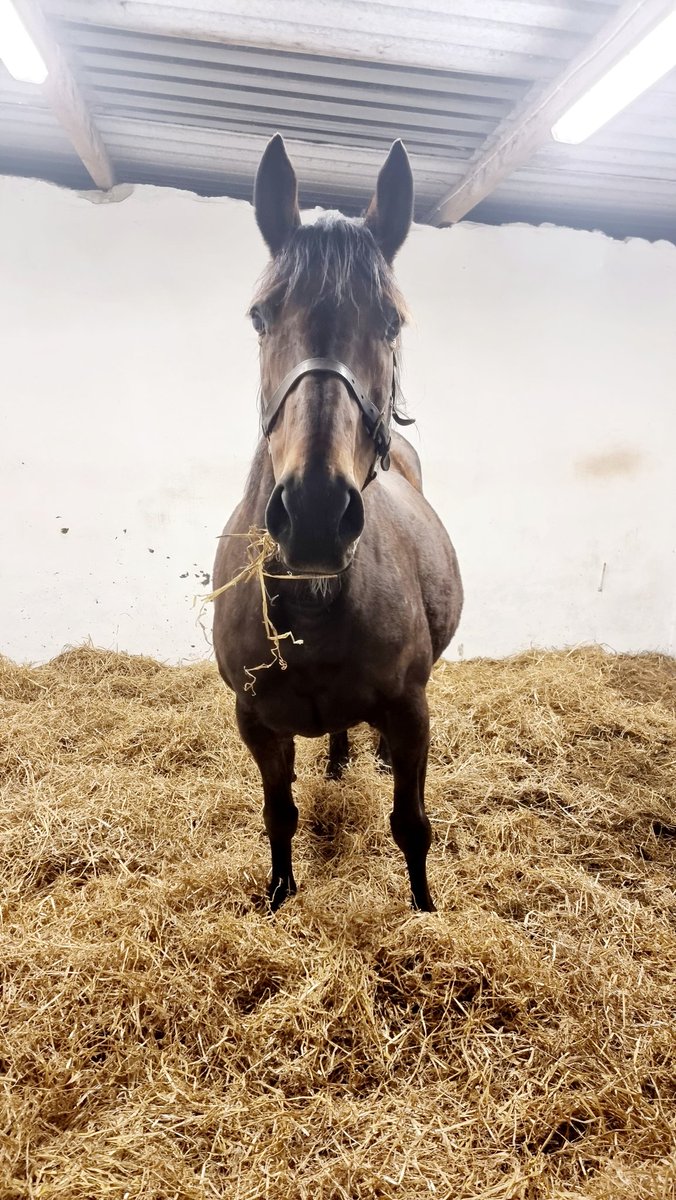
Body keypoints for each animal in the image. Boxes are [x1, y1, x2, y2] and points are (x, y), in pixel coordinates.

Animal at [213, 134, 463, 912]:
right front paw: (278, 895)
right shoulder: (255, 721)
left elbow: (412, 825)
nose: (316, 514)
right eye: (260, 317)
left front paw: (425, 913)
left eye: (391, 321)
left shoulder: (412, 714)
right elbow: (278, 814)